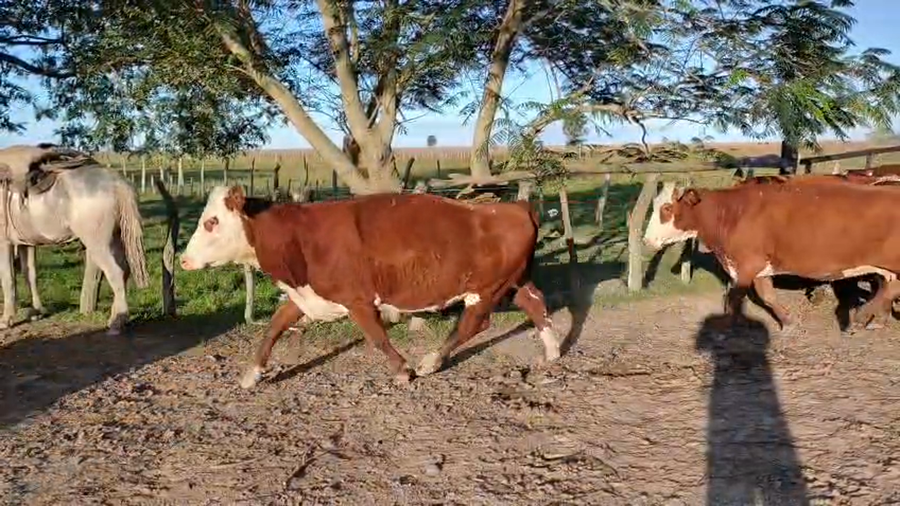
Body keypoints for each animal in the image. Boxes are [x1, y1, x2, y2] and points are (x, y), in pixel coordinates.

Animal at [180, 186, 562, 389]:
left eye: (211, 222)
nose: (183, 260)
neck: (300, 237)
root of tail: (515, 206)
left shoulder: (358, 299)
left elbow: (376, 337)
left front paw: (403, 370)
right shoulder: (306, 296)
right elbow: (273, 327)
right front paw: (252, 374)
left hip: (486, 289)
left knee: (473, 323)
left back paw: (431, 361)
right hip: (515, 282)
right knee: (536, 303)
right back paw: (552, 350)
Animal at [643, 180, 900, 333]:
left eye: (666, 208)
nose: (646, 240)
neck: (733, 213)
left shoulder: (748, 264)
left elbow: (734, 298)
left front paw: (726, 329)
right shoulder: (758, 267)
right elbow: (767, 296)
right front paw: (787, 321)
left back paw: (861, 317)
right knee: (889, 288)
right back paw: (873, 318)